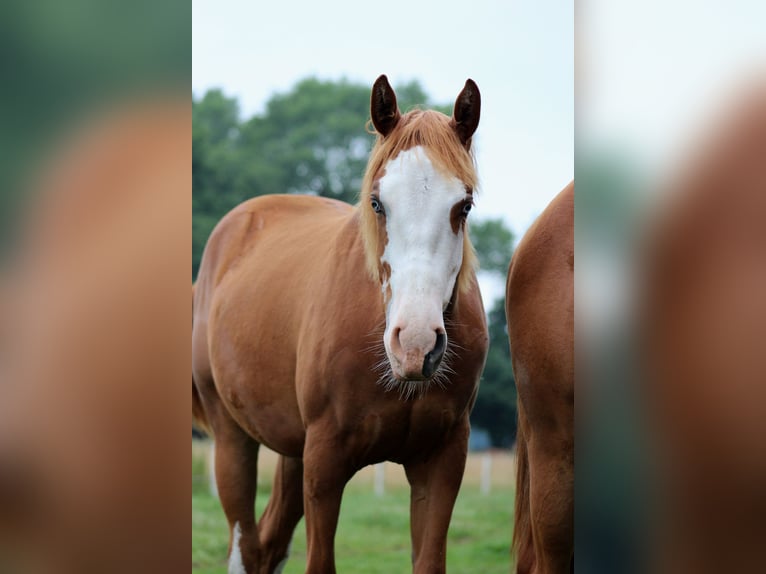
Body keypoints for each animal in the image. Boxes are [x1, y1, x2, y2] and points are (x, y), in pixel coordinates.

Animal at [192, 75, 489, 574]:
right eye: (377, 203)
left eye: (463, 205)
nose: (415, 344)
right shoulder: (325, 461)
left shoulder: (443, 460)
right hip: (233, 438)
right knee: (245, 546)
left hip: (292, 451)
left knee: (268, 545)